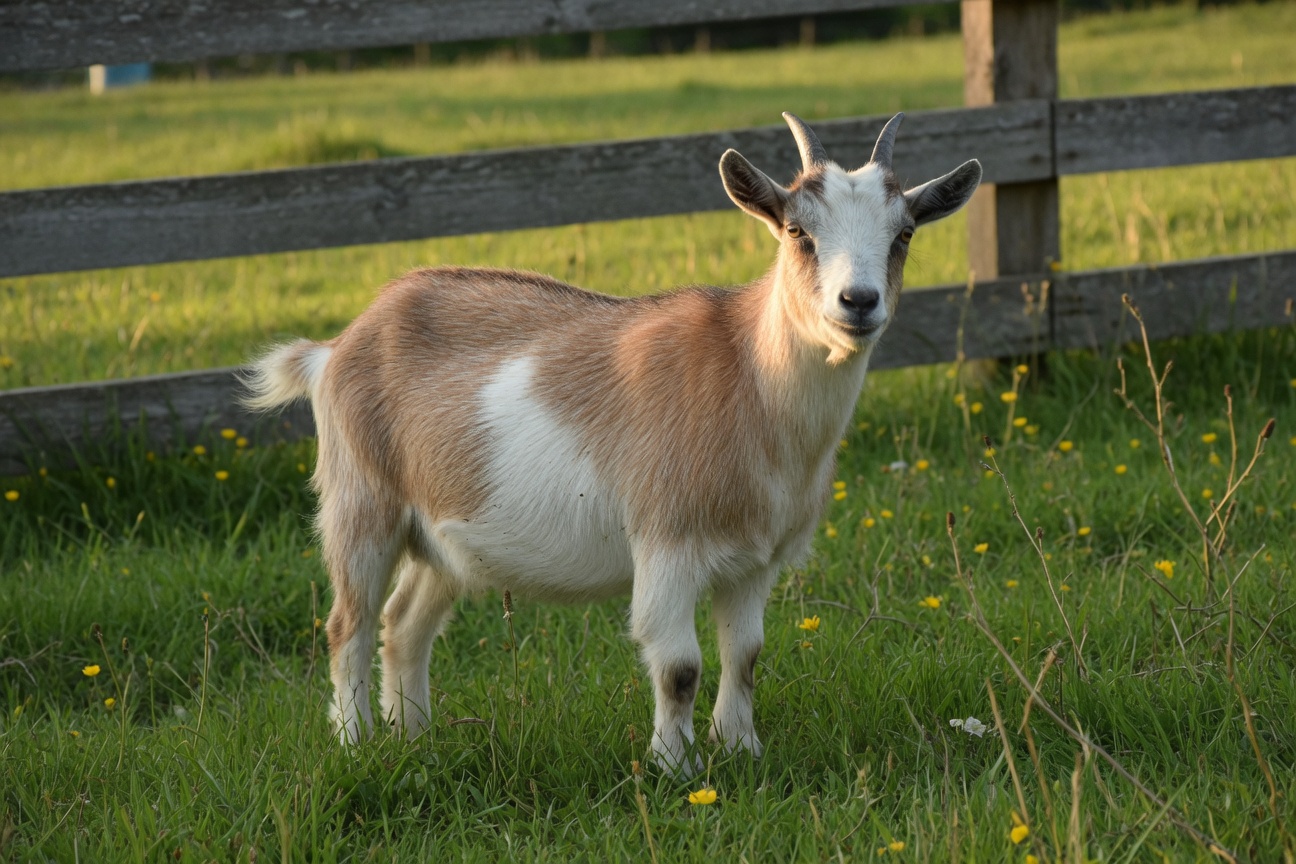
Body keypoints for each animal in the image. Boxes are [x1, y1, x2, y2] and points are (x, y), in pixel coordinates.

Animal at [244, 112, 981, 773]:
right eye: (799, 232)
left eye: (904, 234)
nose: (858, 303)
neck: (749, 376)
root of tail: (337, 347)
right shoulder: (667, 540)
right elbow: (679, 665)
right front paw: (676, 768)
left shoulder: (755, 560)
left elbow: (745, 655)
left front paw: (742, 751)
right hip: (360, 500)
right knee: (349, 624)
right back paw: (356, 743)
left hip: (443, 533)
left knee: (404, 624)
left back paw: (416, 739)